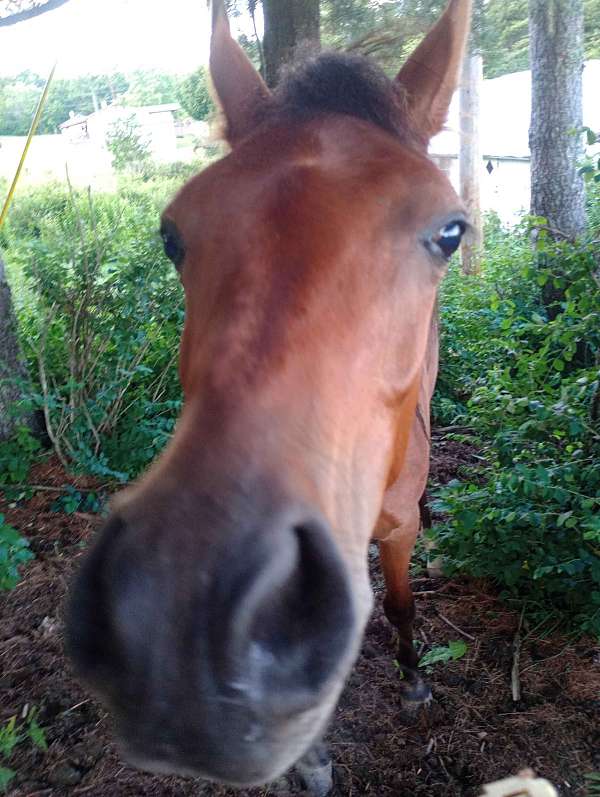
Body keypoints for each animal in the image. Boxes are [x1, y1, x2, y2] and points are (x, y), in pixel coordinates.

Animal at [66, 0, 471, 791]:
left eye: (451, 232)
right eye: (171, 235)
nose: (178, 619)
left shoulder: (397, 528)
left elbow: (401, 603)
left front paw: (414, 682)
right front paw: (313, 761)